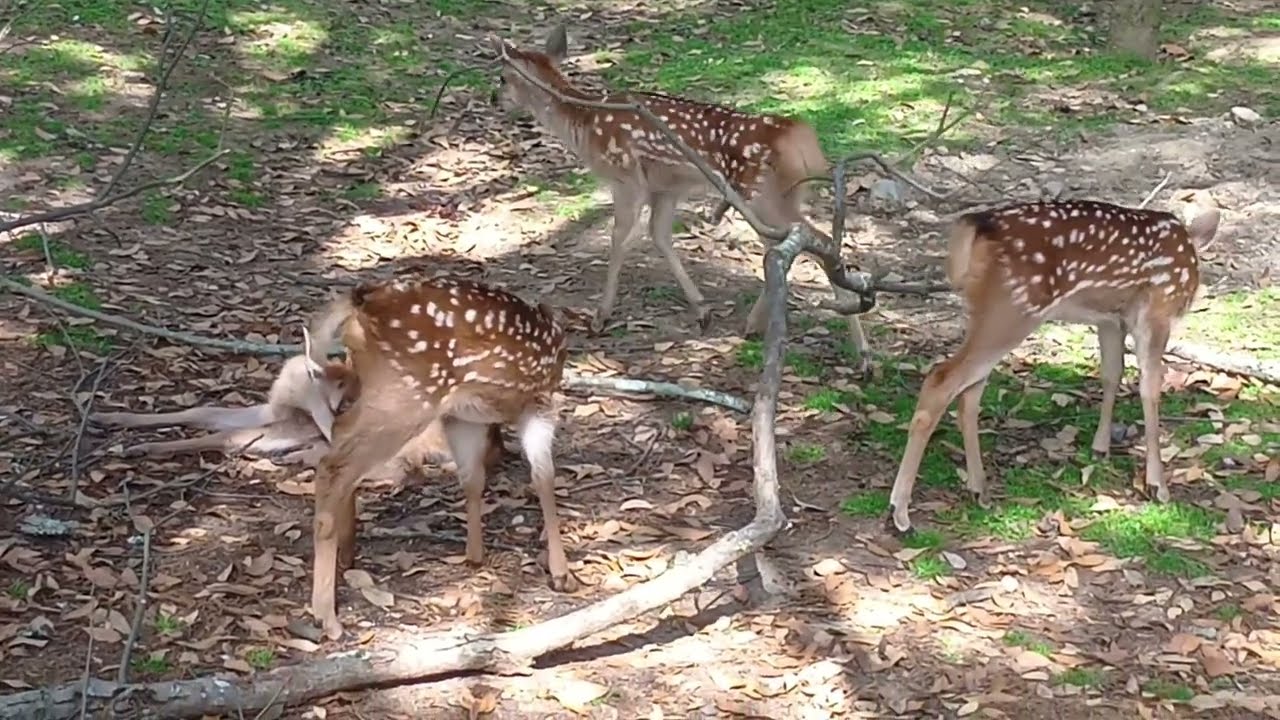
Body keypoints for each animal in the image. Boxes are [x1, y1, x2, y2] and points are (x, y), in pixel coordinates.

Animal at [302, 276, 573, 640]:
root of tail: (361, 305)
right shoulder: (541, 402)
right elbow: (544, 476)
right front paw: (561, 573)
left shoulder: (464, 417)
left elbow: (472, 478)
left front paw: (474, 556)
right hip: (409, 394)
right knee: (334, 465)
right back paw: (327, 617)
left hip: (376, 390)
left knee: (338, 437)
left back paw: (347, 554)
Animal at [489, 25, 869, 358]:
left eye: (502, 77)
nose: (493, 98)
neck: (583, 124)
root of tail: (801, 140)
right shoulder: (666, 187)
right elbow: (659, 235)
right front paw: (702, 310)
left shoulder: (626, 178)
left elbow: (619, 239)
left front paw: (599, 316)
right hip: (778, 196)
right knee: (789, 245)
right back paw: (759, 325)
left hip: (761, 194)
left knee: (811, 240)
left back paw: (860, 352)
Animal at [887, 197, 1221, 534]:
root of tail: (974, 227)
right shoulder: (1156, 311)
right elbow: (1150, 388)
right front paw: (1158, 485)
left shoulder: (1110, 320)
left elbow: (1111, 374)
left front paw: (1100, 448)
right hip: (1013, 308)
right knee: (941, 380)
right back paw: (900, 511)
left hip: (987, 311)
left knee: (969, 394)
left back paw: (979, 489)